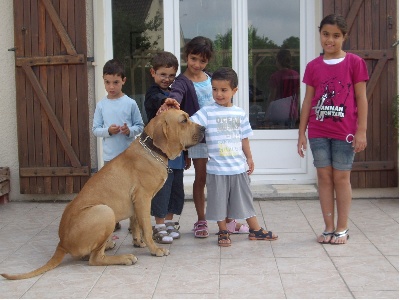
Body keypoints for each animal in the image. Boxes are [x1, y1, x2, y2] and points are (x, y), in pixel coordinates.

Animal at [1, 109, 205, 280]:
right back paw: (124, 258)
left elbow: (136, 223)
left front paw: (138, 241)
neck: (152, 150)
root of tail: (62, 244)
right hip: (104, 211)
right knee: (95, 259)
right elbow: (147, 227)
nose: (204, 128)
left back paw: (108, 245)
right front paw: (154, 249)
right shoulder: (143, 198)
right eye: (183, 120)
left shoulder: (136, 201)